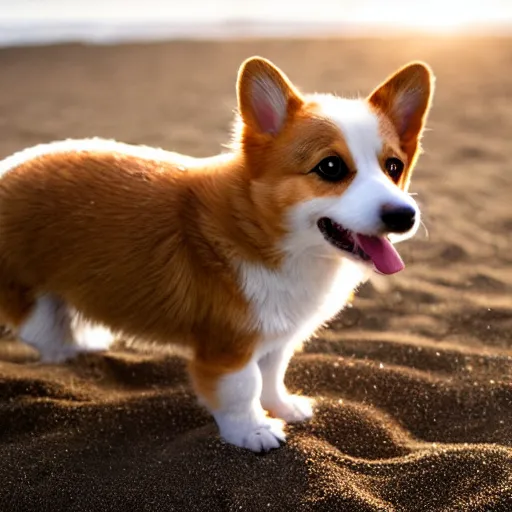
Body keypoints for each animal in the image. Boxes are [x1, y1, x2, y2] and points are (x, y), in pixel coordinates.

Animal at [0, 57, 434, 452]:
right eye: (331, 167)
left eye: (393, 166)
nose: (405, 215)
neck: (267, 233)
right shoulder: (228, 346)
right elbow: (243, 389)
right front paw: (253, 432)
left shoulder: (276, 334)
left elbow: (272, 374)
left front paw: (283, 407)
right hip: (27, 293)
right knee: (44, 332)